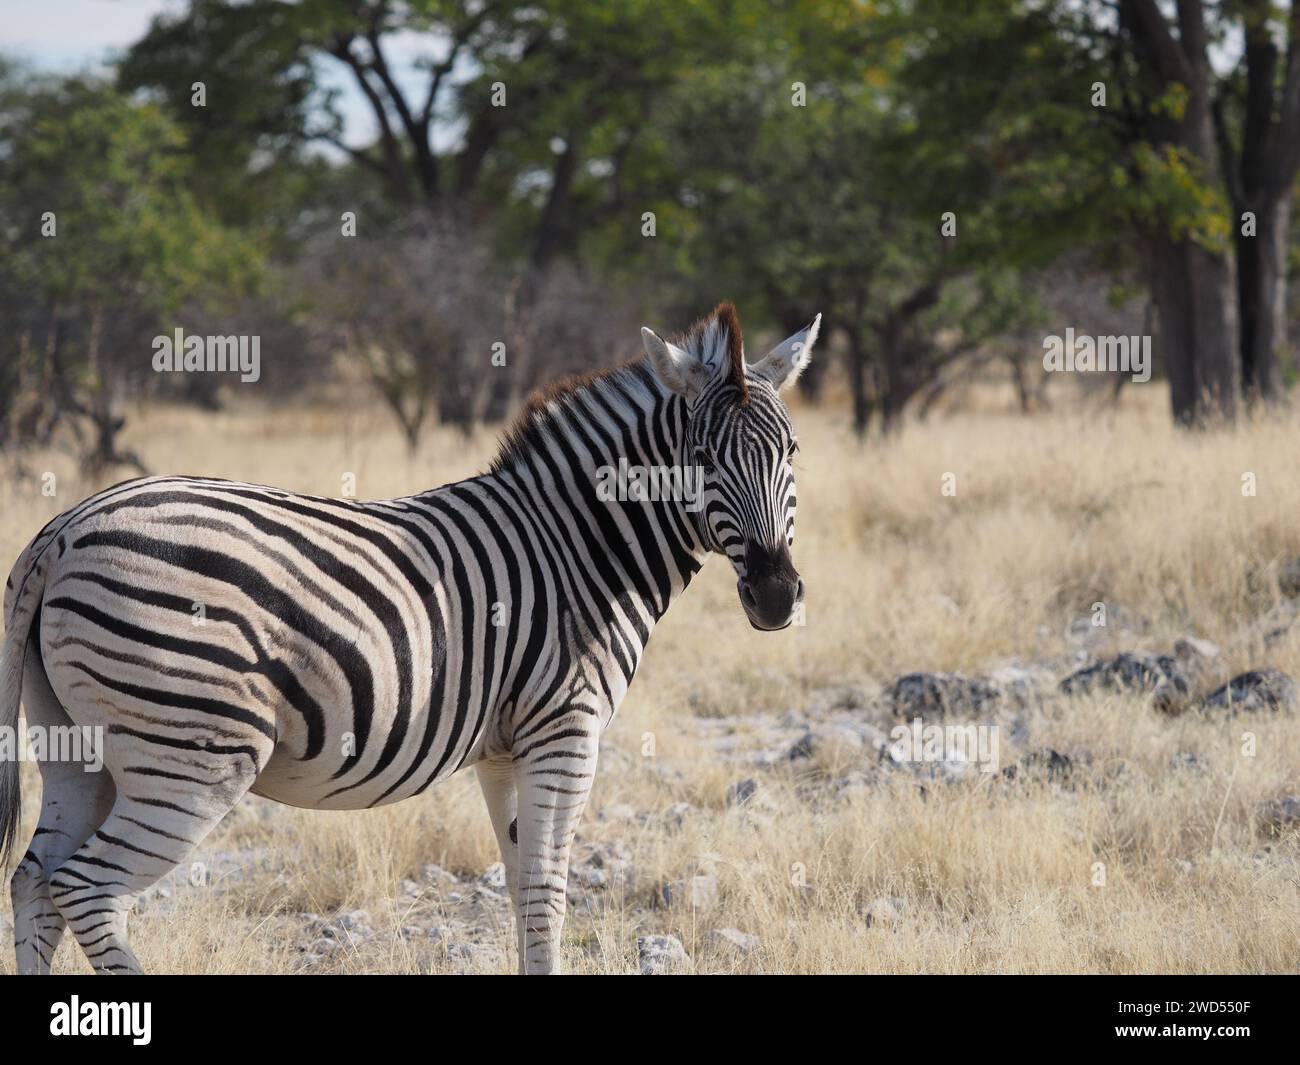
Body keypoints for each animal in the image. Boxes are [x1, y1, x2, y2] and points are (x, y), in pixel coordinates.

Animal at [1, 301, 818, 975]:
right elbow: (551, 889)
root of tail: (63, 530)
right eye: (701, 459)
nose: (777, 597)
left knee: (34, 878)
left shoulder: (504, 745)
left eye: (794, 452)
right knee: (87, 888)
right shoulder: (565, 729)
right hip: (190, 755)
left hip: (79, 749)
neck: (579, 545)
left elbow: (523, 889)